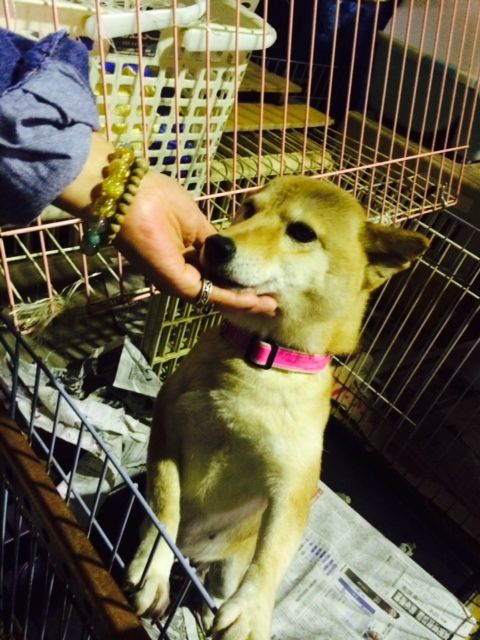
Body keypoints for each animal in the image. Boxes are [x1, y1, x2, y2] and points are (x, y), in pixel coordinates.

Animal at [126, 176, 429, 639]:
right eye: (249, 209)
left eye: (302, 232)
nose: (216, 243)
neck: (259, 359)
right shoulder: (166, 430)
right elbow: (165, 511)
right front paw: (152, 569)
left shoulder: (292, 487)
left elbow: (273, 554)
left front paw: (252, 611)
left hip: (228, 568)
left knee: (214, 585)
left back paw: (206, 608)